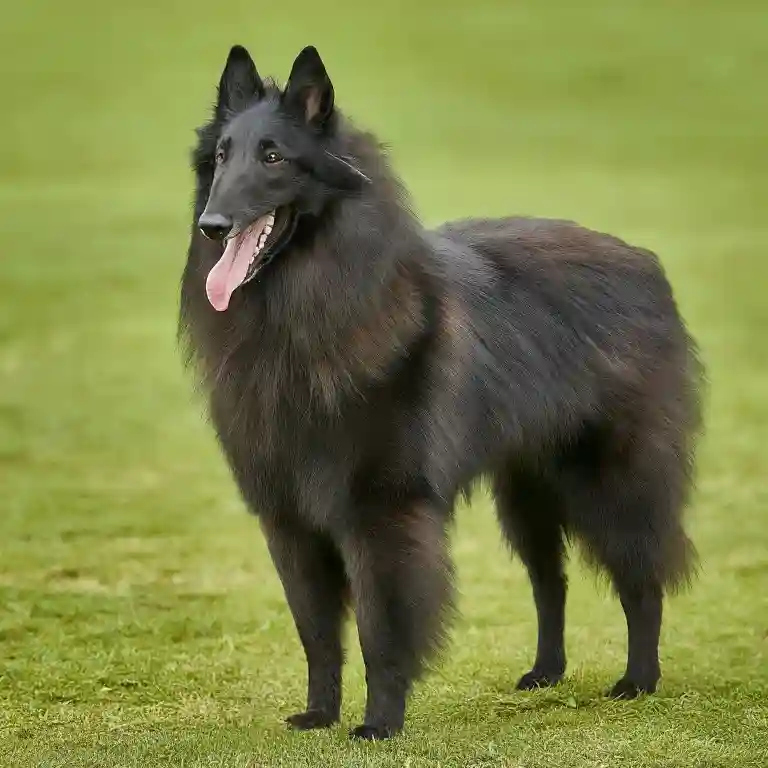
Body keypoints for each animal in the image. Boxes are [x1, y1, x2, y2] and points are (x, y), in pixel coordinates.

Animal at [178, 45, 704, 740]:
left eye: (272, 157)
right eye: (221, 157)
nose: (212, 224)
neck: (304, 311)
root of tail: (645, 262)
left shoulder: (383, 515)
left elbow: (380, 631)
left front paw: (380, 722)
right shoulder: (288, 520)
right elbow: (317, 633)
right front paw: (320, 714)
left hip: (614, 484)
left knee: (641, 581)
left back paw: (638, 681)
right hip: (526, 494)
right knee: (550, 582)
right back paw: (546, 672)